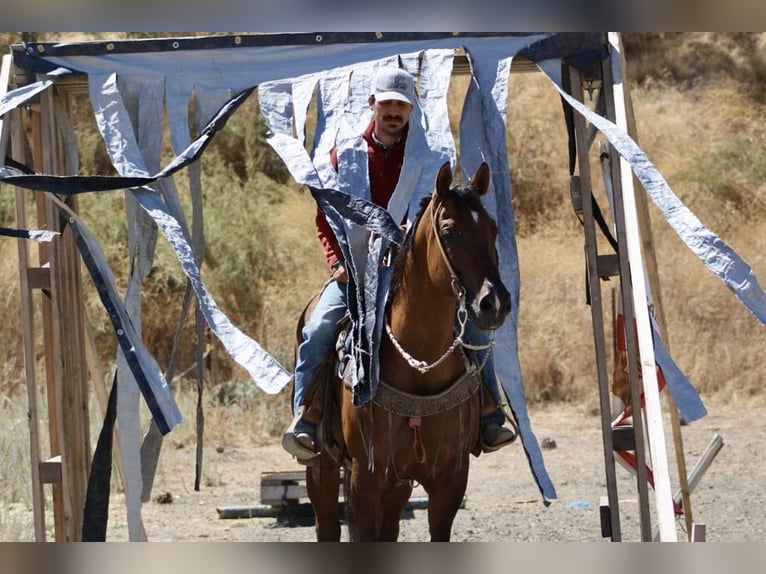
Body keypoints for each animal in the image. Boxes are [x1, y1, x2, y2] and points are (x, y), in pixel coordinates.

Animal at [298, 163, 510, 544]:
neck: (419, 368)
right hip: (322, 466)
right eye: (449, 231)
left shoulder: (450, 481)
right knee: (327, 525)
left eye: (493, 228)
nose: (495, 303)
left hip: (398, 485)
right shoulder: (365, 481)